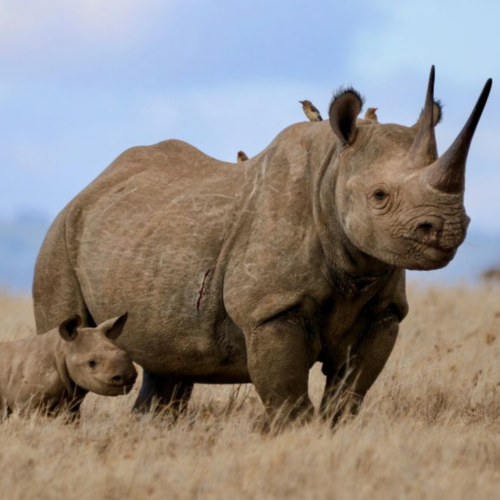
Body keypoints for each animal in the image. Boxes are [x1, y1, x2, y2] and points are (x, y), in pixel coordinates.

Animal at [34, 68, 492, 428]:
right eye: (379, 196)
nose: (448, 227)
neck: (333, 172)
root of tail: (90, 187)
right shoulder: (270, 308)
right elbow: (289, 397)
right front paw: (299, 438)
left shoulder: (384, 311)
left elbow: (349, 394)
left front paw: (334, 432)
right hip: (59, 236)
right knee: (68, 332)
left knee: (167, 362)